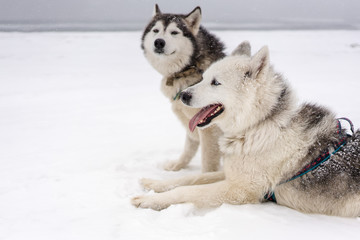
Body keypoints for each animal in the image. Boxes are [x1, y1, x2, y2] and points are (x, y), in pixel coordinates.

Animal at [132, 43, 360, 218]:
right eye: (203, 78)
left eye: (216, 82)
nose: (183, 96)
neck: (259, 125)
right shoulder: (232, 174)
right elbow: (190, 179)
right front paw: (153, 183)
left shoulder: (239, 189)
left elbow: (189, 190)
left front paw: (149, 201)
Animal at [141, 4, 225, 172]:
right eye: (155, 30)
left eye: (174, 32)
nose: (159, 42)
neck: (190, 68)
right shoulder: (192, 121)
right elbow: (189, 147)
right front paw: (177, 165)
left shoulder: (209, 129)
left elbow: (208, 161)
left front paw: (205, 176)